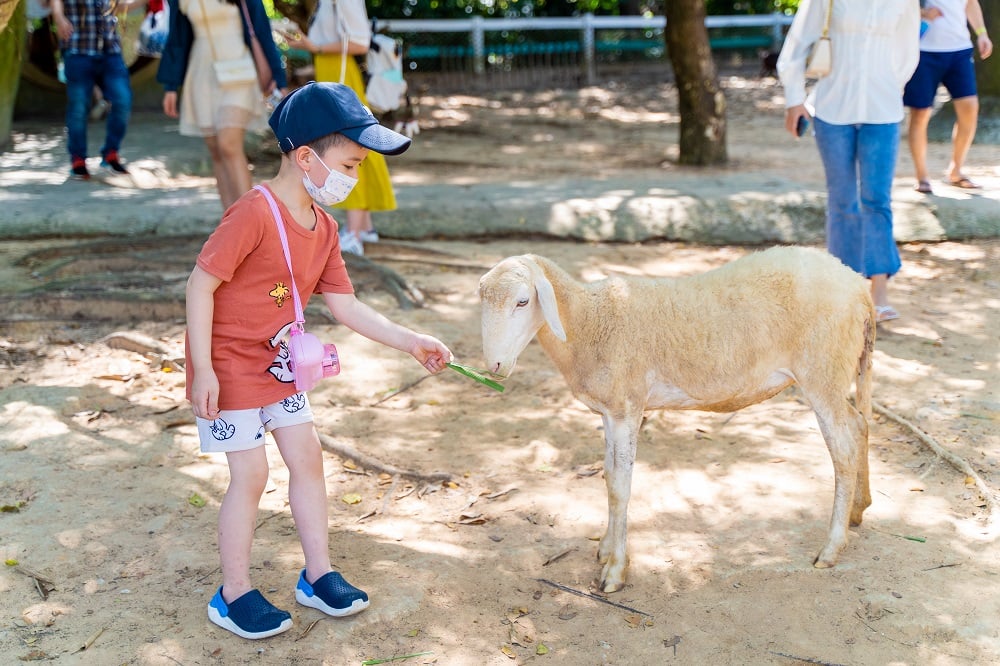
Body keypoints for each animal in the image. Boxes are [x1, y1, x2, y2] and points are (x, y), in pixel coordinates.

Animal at [476, 246, 876, 588]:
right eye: (482, 301)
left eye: (523, 300)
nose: (494, 366)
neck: (586, 322)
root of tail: (858, 285)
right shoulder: (610, 411)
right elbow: (607, 476)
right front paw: (606, 546)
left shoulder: (627, 407)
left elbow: (620, 486)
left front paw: (616, 570)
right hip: (837, 372)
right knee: (860, 424)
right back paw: (858, 510)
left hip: (823, 371)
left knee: (843, 447)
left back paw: (831, 547)